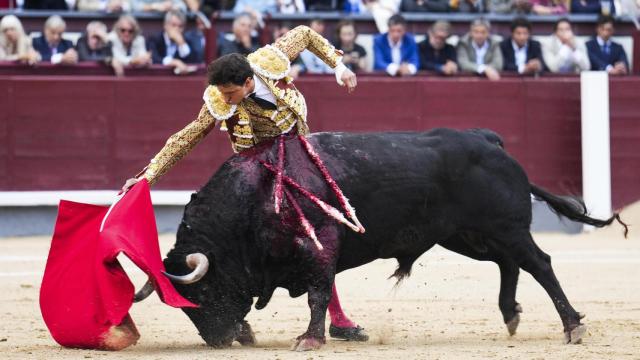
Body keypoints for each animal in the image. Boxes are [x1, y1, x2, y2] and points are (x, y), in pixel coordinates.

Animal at [160, 129, 624, 348]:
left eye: (202, 293)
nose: (216, 340)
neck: (254, 197)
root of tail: (486, 138)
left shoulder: (321, 243)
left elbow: (318, 292)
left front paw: (310, 338)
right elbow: (320, 290)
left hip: (505, 227)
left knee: (539, 264)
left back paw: (572, 326)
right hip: (467, 236)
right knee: (508, 263)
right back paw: (510, 314)